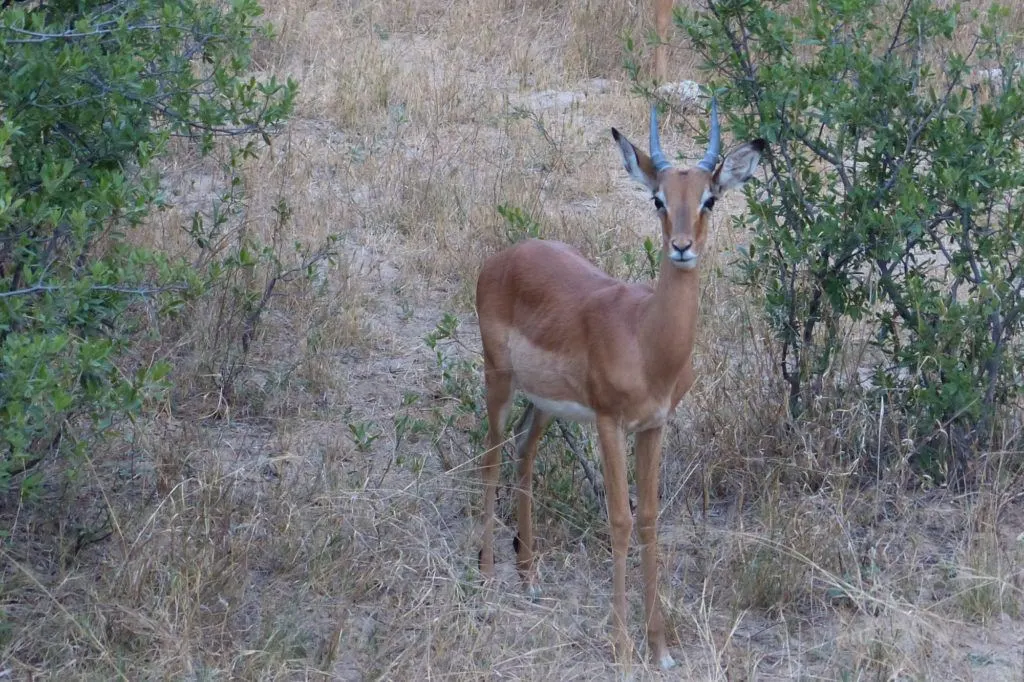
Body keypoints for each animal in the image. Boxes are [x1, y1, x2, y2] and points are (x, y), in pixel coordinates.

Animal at [475, 100, 765, 668]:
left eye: (710, 199)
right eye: (658, 199)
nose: (681, 247)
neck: (646, 339)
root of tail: (502, 258)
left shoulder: (653, 427)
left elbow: (649, 518)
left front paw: (661, 648)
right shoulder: (610, 424)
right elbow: (620, 519)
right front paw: (624, 647)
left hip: (545, 404)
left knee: (523, 453)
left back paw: (529, 578)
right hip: (499, 379)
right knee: (492, 455)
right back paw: (487, 576)